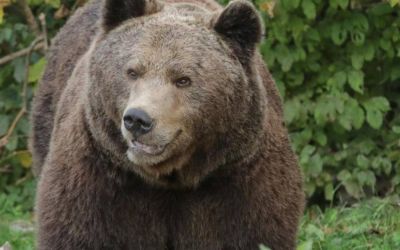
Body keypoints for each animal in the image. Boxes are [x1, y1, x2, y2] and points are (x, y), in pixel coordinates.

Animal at [31, 0, 304, 249]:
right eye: (132, 71)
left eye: (183, 79)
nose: (137, 120)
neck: (170, 178)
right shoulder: (100, 177)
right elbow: (80, 231)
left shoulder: (239, 178)